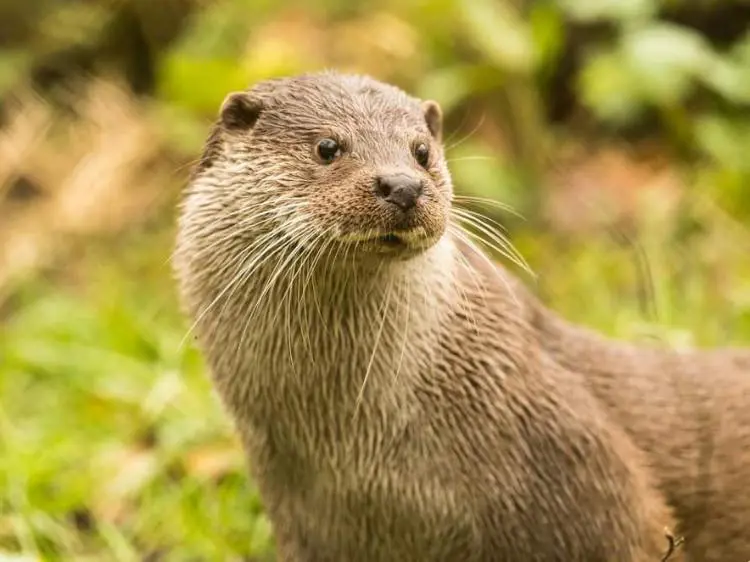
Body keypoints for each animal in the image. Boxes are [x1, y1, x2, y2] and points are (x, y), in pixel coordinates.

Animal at [173, 72, 750, 561]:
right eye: (327, 147)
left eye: (422, 151)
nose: (403, 185)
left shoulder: (590, 473)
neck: (360, 449)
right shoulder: (303, 517)